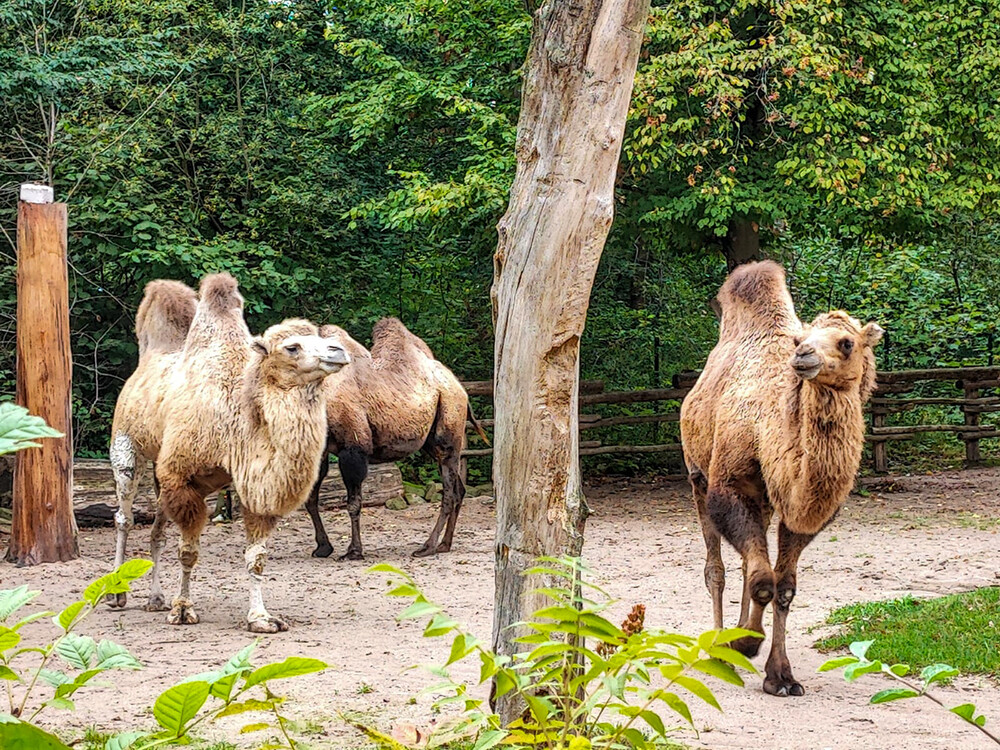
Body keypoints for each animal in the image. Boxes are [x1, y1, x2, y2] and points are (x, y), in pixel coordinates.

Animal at [110, 274, 350, 632]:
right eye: (292, 347)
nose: (339, 351)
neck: (236, 416)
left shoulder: (253, 484)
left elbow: (257, 559)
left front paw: (260, 618)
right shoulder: (183, 477)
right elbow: (188, 552)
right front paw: (183, 609)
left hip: (159, 471)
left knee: (157, 530)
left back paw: (155, 599)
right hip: (127, 446)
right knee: (124, 517)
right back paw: (116, 594)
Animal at [306, 318, 490, 564]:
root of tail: (460, 388)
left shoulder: (353, 447)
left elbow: (353, 502)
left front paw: (354, 551)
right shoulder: (322, 449)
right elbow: (311, 499)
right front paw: (323, 547)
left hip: (449, 426)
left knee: (450, 490)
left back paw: (427, 547)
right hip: (432, 441)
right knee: (459, 488)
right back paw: (445, 544)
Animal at [680, 262, 884, 696]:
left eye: (846, 342)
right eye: (801, 340)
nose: (804, 356)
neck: (768, 429)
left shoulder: (795, 510)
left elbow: (784, 587)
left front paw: (780, 675)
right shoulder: (730, 485)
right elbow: (763, 580)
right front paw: (745, 644)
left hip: (763, 500)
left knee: (745, 564)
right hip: (696, 475)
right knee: (716, 568)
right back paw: (719, 648)